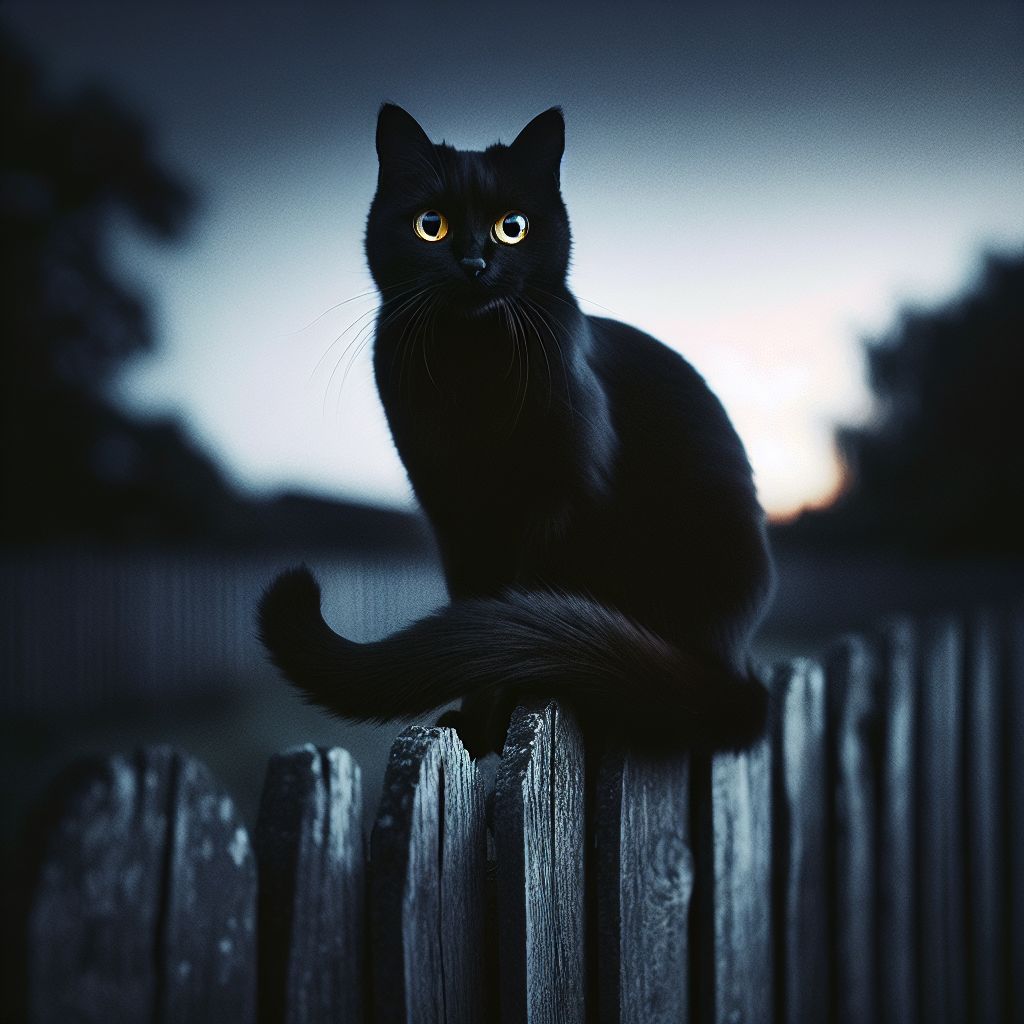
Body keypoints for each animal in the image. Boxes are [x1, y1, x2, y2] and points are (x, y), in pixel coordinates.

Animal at [258, 108, 774, 757]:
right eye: (431, 226)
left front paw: (492, 721)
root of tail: (739, 676)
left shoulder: (559, 504)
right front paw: (475, 724)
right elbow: (478, 607)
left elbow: (511, 616)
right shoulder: (451, 514)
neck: (470, 365)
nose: (475, 264)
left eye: (513, 228)